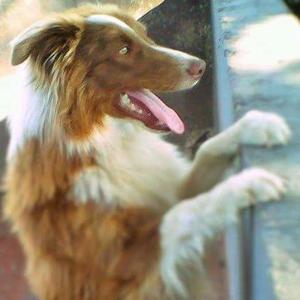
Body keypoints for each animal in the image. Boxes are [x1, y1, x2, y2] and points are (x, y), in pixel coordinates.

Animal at [3, 4, 292, 300]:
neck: (108, 140)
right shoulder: (117, 266)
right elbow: (179, 215)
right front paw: (247, 184)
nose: (201, 66)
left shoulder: (173, 187)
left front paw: (257, 124)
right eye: (123, 50)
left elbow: (206, 151)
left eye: (144, 35)